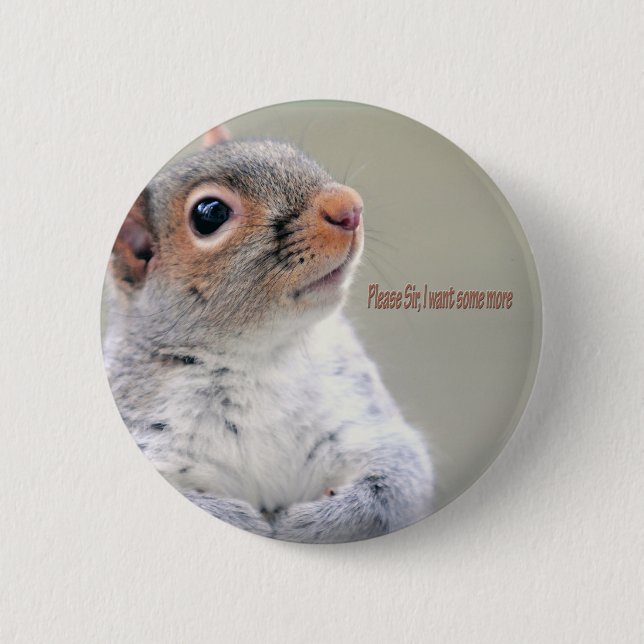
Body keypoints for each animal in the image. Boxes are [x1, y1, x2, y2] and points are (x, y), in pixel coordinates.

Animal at [102, 127, 435, 543]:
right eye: (210, 214)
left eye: (291, 151)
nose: (349, 207)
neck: (260, 356)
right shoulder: (155, 442)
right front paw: (244, 522)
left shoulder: (364, 421)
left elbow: (398, 481)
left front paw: (306, 526)